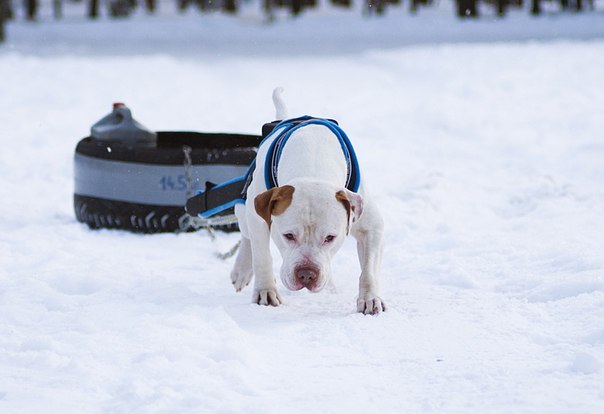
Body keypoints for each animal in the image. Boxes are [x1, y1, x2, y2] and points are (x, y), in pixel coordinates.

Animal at [229, 88, 384, 314]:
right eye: (288, 235)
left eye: (330, 237)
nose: (307, 274)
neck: (313, 165)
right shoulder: (257, 218)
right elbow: (262, 256)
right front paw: (266, 291)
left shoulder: (371, 227)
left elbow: (369, 269)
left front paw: (370, 298)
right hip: (245, 210)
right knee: (247, 237)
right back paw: (242, 269)